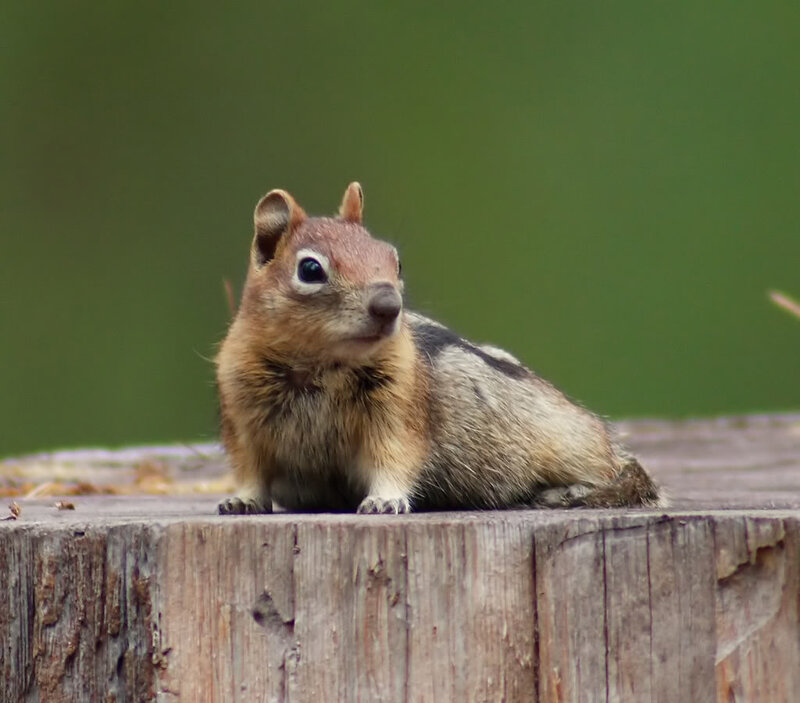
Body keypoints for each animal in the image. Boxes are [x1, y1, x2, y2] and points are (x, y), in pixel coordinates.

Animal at [215, 183, 661, 515]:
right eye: (310, 269)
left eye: (394, 261)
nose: (388, 305)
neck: (320, 365)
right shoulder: (242, 418)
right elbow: (250, 469)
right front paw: (241, 501)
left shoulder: (398, 409)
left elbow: (394, 455)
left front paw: (384, 500)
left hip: (569, 444)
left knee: (618, 474)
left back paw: (568, 491)